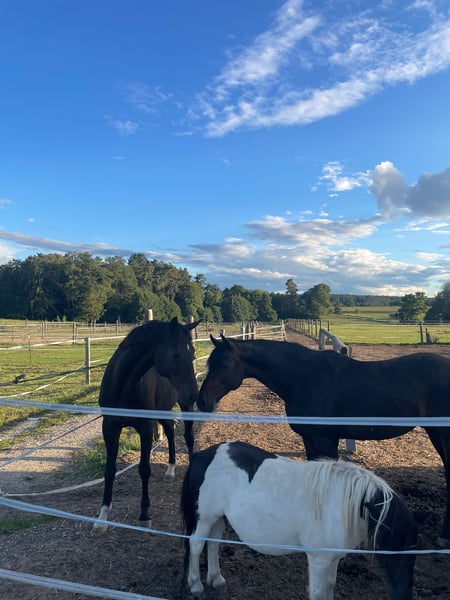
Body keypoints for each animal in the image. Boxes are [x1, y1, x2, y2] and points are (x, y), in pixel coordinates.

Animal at [93, 316, 199, 533]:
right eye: (176, 354)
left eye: (191, 353)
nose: (194, 394)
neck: (123, 384)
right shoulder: (109, 428)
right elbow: (109, 470)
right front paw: (102, 517)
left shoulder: (145, 427)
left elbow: (144, 468)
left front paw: (144, 514)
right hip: (163, 410)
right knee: (170, 429)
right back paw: (170, 470)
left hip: (183, 407)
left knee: (188, 437)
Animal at [181, 440, 418, 599]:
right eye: (393, 550)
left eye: (413, 556)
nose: (403, 595)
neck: (342, 504)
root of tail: (203, 454)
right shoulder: (318, 560)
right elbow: (318, 592)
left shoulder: (332, 559)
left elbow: (329, 587)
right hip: (205, 518)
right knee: (196, 545)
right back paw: (196, 586)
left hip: (218, 517)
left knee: (213, 544)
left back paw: (216, 579)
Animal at [197, 335, 450, 547]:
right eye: (210, 365)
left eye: (224, 365)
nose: (202, 402)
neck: (304, 378)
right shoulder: (310, 439)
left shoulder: (325, 439)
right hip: (435, 433)